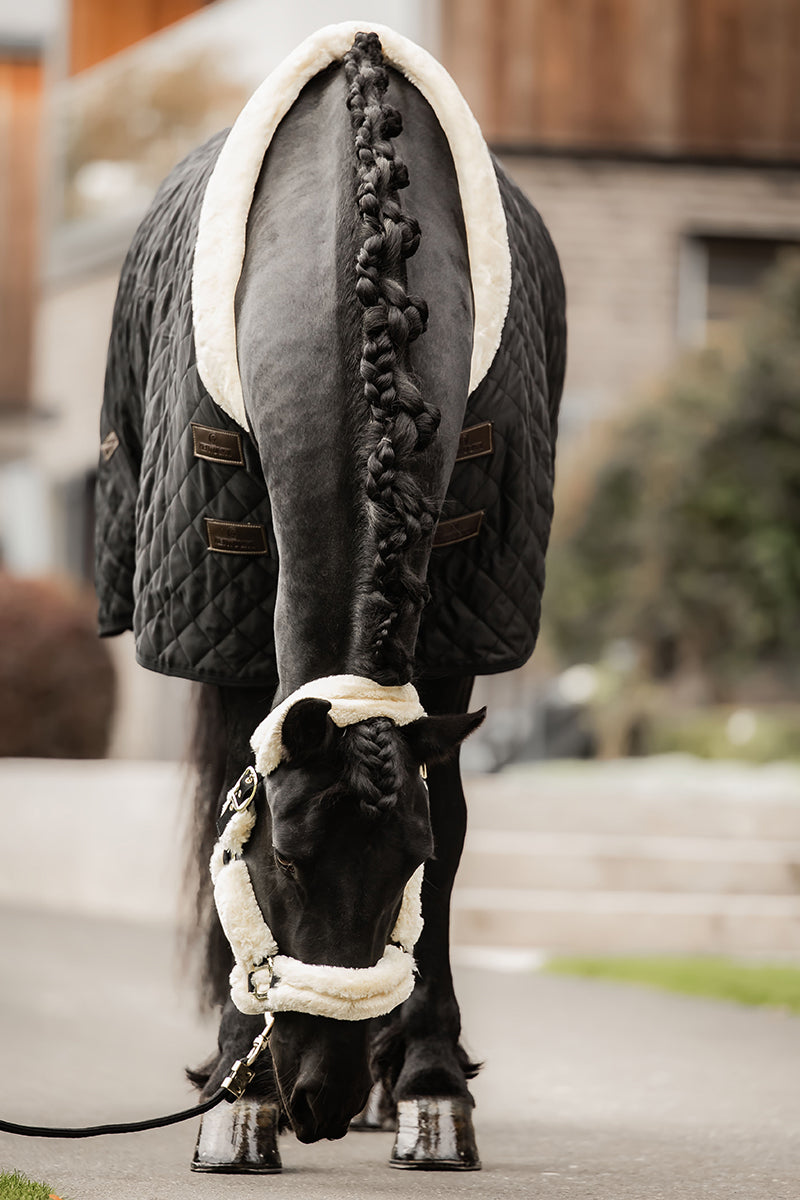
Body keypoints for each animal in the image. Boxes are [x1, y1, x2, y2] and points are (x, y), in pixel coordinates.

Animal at [94, 25, 566, 1171]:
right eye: (292, 863)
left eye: (405, 862)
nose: (317, 1093)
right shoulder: (223, 623)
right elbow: (226, 812)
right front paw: (238, 1100)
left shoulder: (456, 627)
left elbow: (455, 821)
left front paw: (430, 1087)